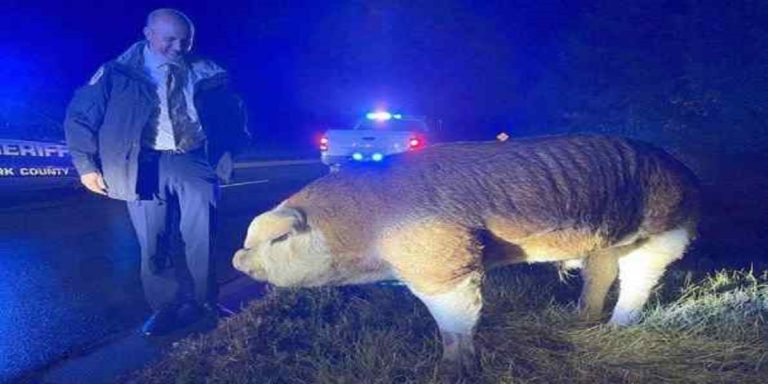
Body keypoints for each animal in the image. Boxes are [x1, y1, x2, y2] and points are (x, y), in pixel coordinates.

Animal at [232, 134, 704, 378]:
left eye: (278, 239)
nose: (237, 259)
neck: (364, 231)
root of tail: (687, 172)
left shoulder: (444, 259)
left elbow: (455, 319)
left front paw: (451, 366)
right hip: (606, 240)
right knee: (601, 272)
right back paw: (579, 319)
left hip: (664, 231)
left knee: (639, 277)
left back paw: (618, 326)